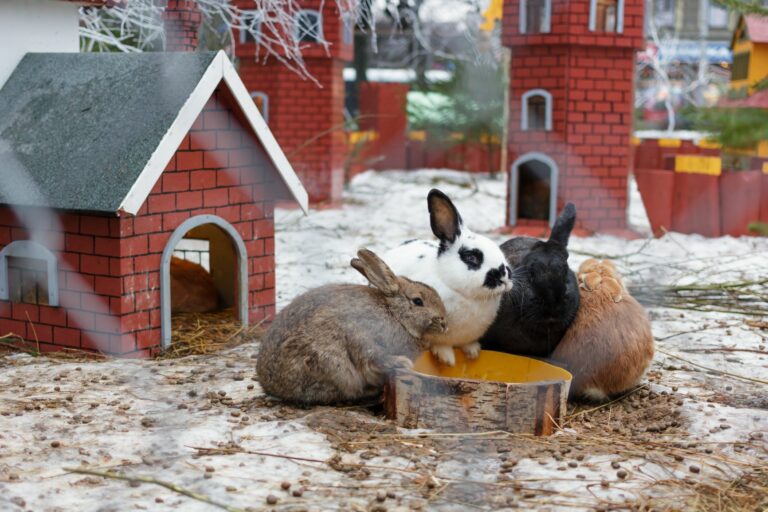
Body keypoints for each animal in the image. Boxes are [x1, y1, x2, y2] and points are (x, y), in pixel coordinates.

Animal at [255, 250, 448, 406]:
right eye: (418, 301)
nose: (444, 323)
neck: (394, 314)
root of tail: (271, 385)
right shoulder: (363, 340)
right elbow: (373, 359)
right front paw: (402, 363)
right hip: (332, 365)